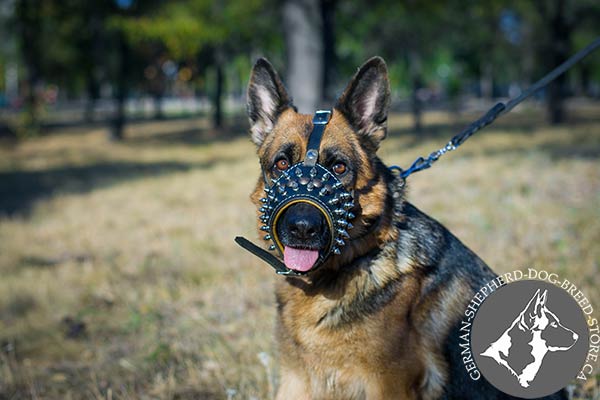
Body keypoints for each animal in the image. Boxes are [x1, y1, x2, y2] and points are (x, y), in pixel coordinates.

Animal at [245, 57, 568, 400]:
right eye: (281, 164)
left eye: (339, 167)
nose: (302, 228)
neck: (354, 261)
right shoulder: (296, 380)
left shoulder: (388, 385)